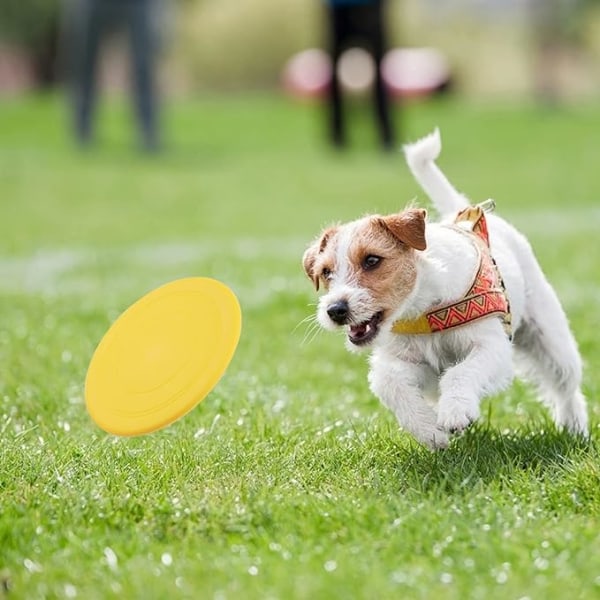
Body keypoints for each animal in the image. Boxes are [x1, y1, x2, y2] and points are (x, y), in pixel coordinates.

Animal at [302, 129, 588, 448]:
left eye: (372, 260)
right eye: (326, 272)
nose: (335, 310)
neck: (424, 308)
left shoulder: (491, 347)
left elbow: (460, 373)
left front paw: (455, 412)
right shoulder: (410, 362)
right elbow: (389, 383)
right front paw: (429, 430)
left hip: (550, 339)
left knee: (566, 386)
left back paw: (574, 427)